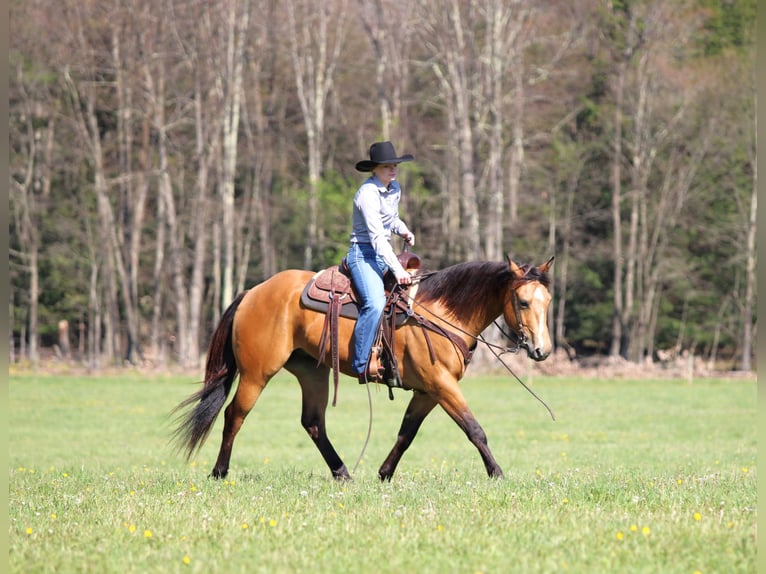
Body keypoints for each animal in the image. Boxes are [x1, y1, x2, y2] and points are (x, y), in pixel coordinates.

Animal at [172, 255, 554, 481]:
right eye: (523, 302)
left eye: (547, 301)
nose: (542, 350)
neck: (442, 313)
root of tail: (252, 292)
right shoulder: (442, 385)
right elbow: (475, 429)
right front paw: (497, 473)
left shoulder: (428, 391)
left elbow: (406, 434)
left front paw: (384, 473)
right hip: (257, 373)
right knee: (234, 415)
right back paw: (219, 472)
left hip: (312, 372)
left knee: (313, 422)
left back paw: (342, 472)